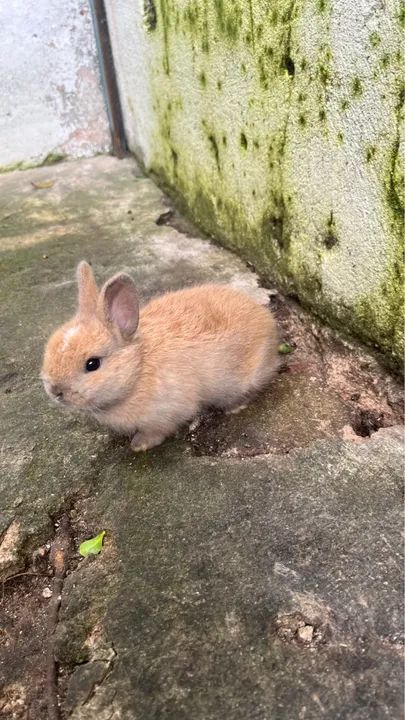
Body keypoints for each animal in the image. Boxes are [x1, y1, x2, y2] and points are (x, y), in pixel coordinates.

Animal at [41, 261, 279, 451]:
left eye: (92, 364)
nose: (55, 391)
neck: (138, 368)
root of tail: (268, 322)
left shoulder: (167, 412)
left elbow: (158, 430)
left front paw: (139, 445)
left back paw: (234, 407)